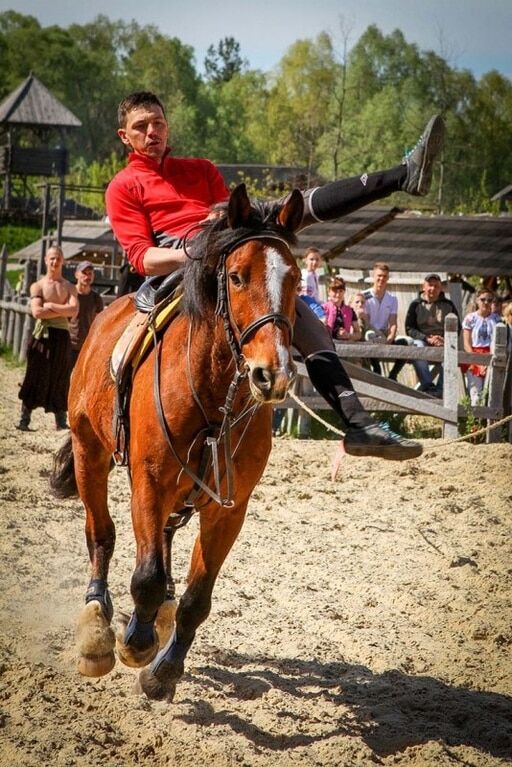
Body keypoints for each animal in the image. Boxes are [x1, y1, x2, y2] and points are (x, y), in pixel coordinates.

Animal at [49, 186, 302, 704]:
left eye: (296, 279)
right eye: (236, 276)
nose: (272, 374)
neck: (211, 392)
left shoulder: (229, 509)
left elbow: (197, 598)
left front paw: (164, 669)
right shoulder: (149, 482)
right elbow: (144, 576)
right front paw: (135, 644)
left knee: (162, 545)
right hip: (89, 454)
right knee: (100, 534)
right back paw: (98, 628)